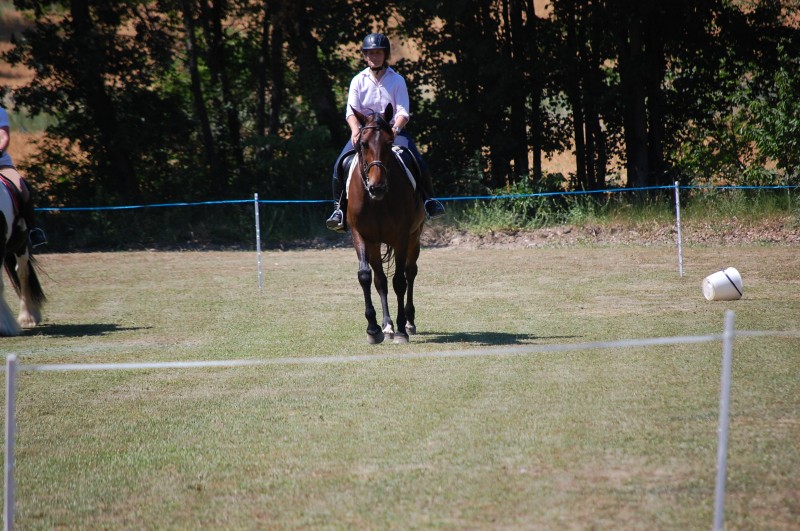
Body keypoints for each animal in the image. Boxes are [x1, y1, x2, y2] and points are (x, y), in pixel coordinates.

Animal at [346, 103, 426, 344]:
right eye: (363, 143)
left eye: (389, 143)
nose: (377, 187)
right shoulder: (361, 235)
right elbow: (366, 277)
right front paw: (374, 329)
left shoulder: (401, 237)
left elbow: (399, 281)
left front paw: (401, 329)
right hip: (374, 245)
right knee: (380, 280)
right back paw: (387, 325)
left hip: (414, 237)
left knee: (410, 273)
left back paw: (408, 323)